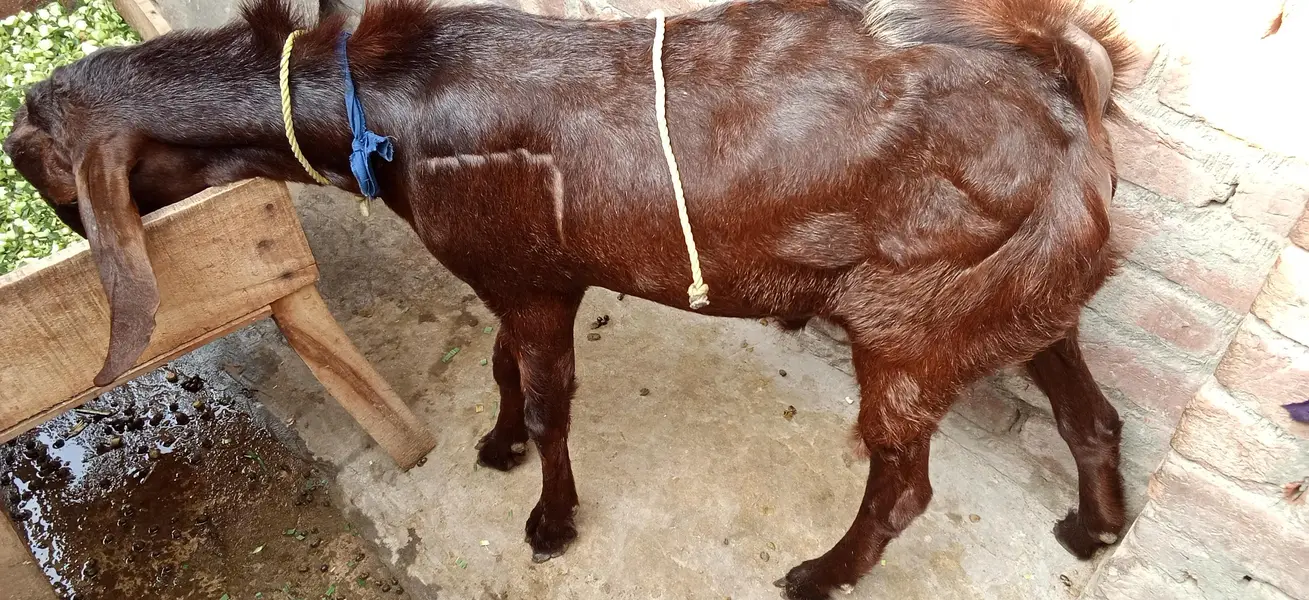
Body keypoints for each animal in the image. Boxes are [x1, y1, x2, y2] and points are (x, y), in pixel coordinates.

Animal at [3, 0, 1139, 596]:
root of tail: (1069, 90)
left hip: (913, 324)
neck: (383, 102)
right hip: (1026, 301)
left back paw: (818, 574)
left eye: (34, 161)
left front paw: (549, 522)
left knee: (902, 485)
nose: (70, 233)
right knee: (1091, 416)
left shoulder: (534, 281)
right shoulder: (513, 278)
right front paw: (498, 445)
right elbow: (503, 367)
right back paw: (1093, 533)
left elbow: (550, 398)